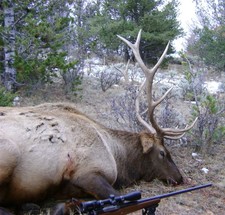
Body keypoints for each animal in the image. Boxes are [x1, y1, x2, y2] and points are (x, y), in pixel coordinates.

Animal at [0, 29, 197, 213]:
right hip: (9, 150)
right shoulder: (88, 172)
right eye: (163, 152)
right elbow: (117, 196)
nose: (180, 177)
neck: (119, 159)